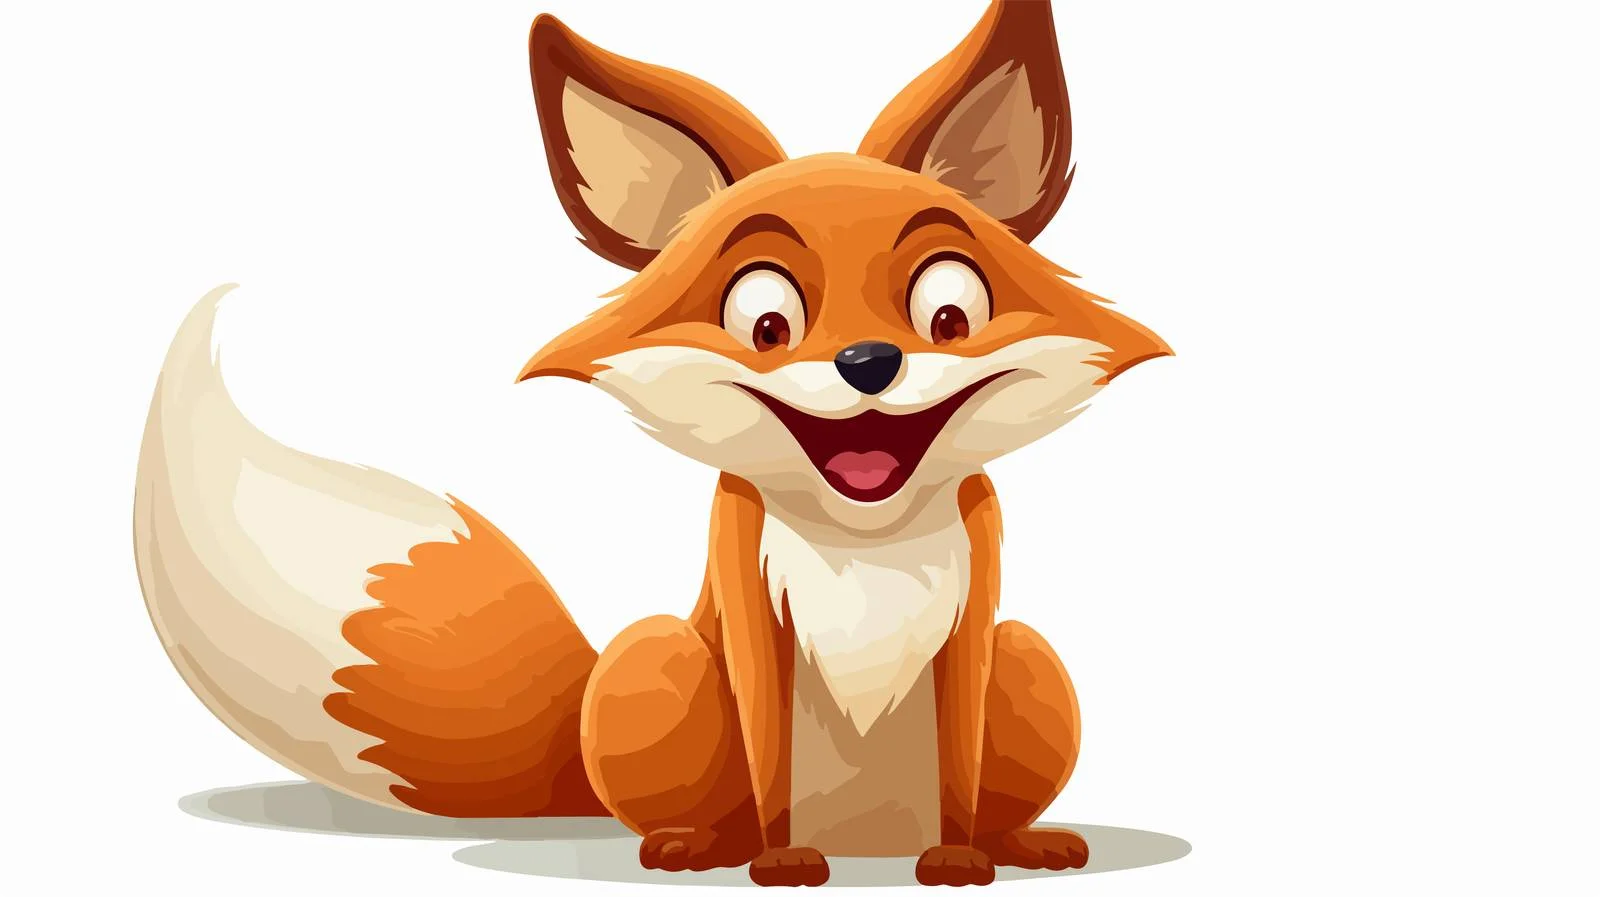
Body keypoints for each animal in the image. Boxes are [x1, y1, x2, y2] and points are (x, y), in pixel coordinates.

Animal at [133, 0, 1170, 887]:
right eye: (764, 322)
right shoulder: (744, 589)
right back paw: (694, 846)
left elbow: (958, 757)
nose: (868, 361)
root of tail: (869, 843)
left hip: (1031, 656)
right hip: (654, 655)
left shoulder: (978, 602)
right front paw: (779, 860)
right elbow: (767, 746)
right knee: (700, 797)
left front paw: (960, 858)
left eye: (950, 313)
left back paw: (1021, 841)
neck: (862, 539)